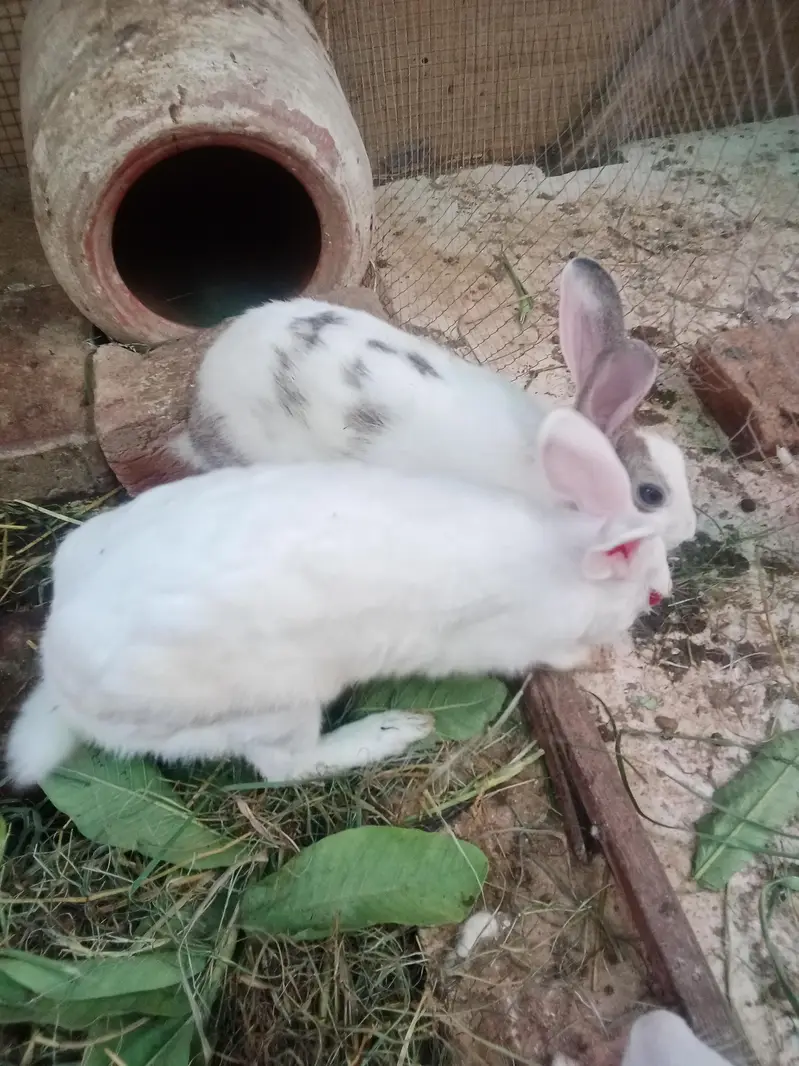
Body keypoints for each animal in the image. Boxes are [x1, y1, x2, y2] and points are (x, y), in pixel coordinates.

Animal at [6, 406, 671, 790]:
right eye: (650, 594)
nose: (663, 592)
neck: (563, 555)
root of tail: (62, 682)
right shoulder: (513, 640)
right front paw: (591, 658)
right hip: (278, 705)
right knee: (286, 768)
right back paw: (393, 731)